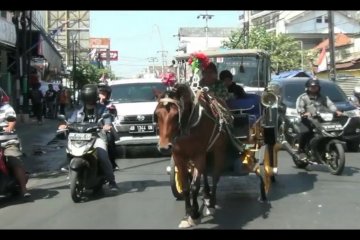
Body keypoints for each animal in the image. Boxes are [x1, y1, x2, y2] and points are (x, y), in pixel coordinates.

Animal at [153, 83, 229, 228]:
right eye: (157, 114)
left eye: (176, 114)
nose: (164, 147)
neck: (187, 126)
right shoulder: (179, 157)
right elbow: (186, 187)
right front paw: (188, 214)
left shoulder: (198, 155)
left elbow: (194, 186)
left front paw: (194, 214)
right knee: (204, 173)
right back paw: (206, 194)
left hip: (218, 150)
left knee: (215, 175)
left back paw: (211, 203)